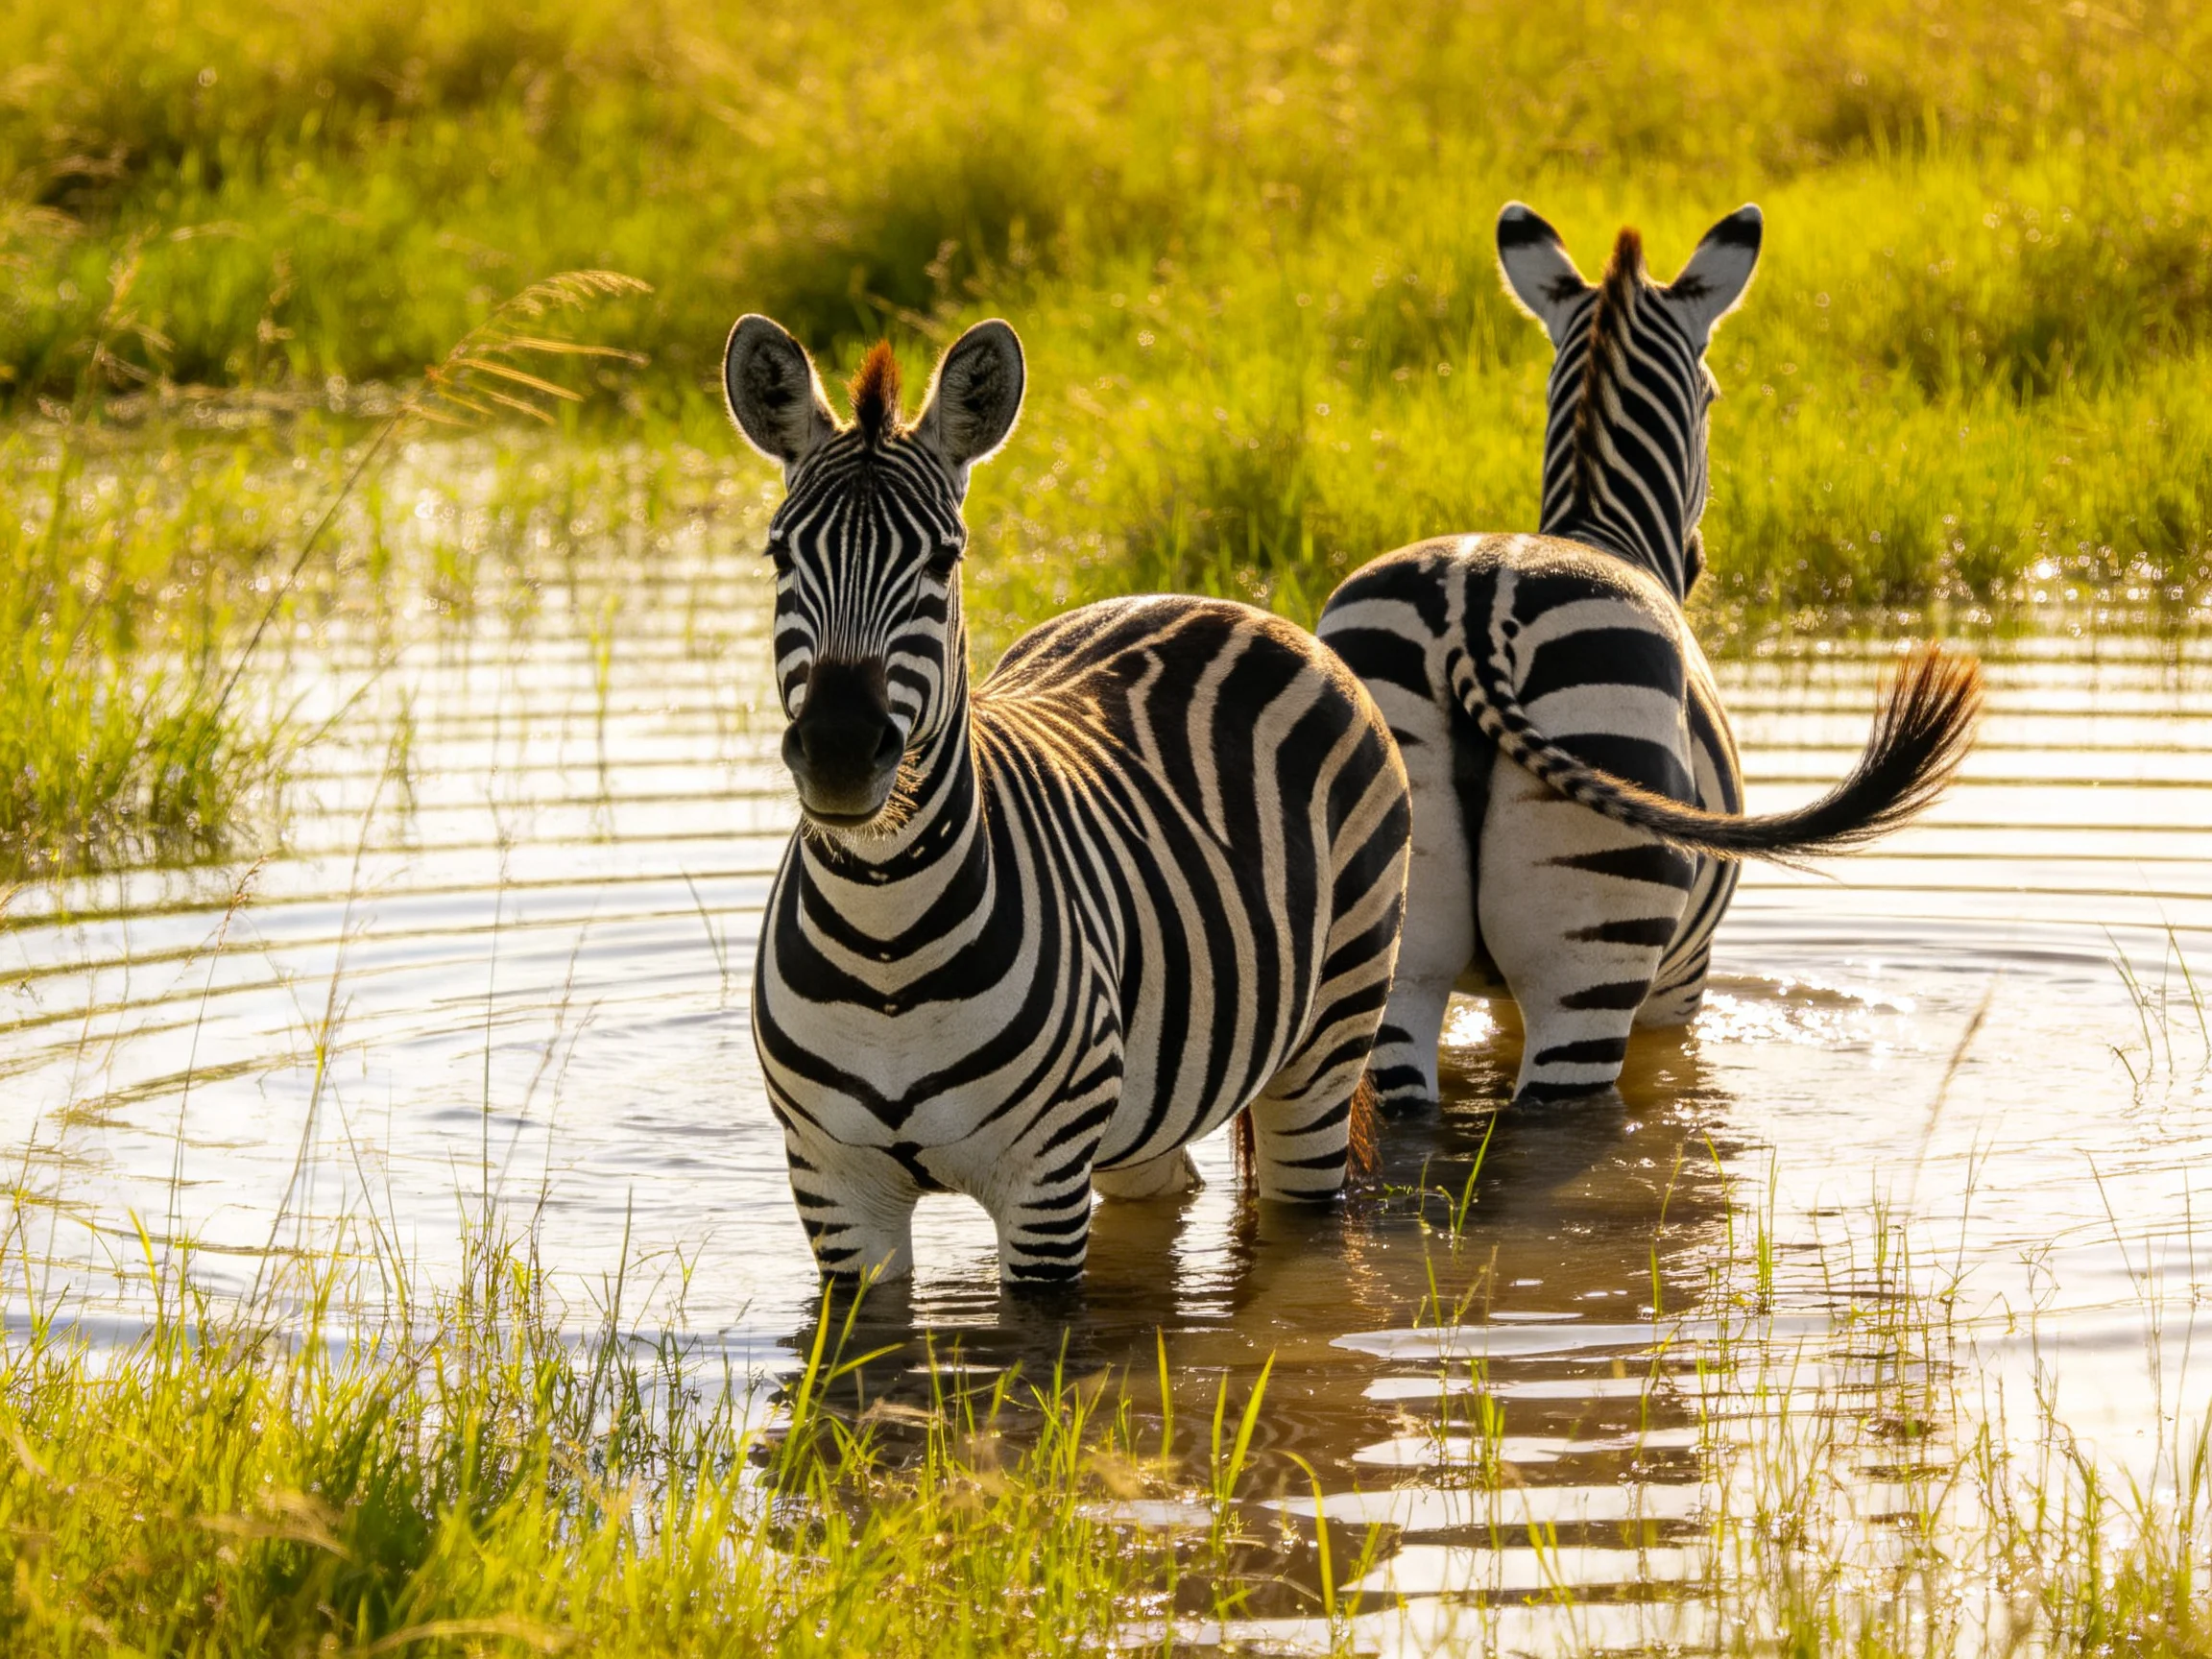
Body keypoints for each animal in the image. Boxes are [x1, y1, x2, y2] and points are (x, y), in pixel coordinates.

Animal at [723, 314, 1412, 1286]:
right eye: (780, 553)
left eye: (944, 559)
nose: (839, 752)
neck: (885, 935)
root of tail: (1225, 602)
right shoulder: (835, 1191)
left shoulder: (1043, 1187)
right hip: (1142, 1112)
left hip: (1330, 1034)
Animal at [1316, 203, 1983, 1112]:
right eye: (1713, 393)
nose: (1698, 562)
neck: (1603, 525)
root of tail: (1473, 611)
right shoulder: (1682, 982)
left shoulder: (1496, 999)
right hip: (1595, 944)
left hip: (1390, 945)